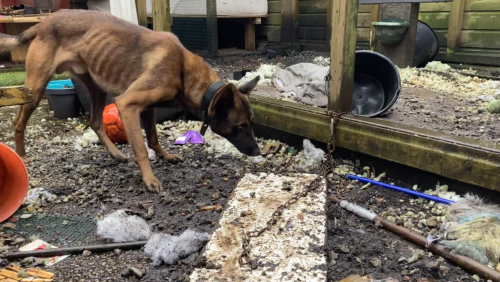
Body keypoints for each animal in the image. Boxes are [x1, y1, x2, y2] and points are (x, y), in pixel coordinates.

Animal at [0, 9, 264, 193]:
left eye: (252, 123)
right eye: (240, 127)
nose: (258, 151)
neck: (183, 69)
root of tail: (44, 22)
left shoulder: (147, 108)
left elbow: (154, 138)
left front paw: (165, 156)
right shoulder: (127, 104)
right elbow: (141, 148)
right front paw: (149, 179)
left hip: (96, 88)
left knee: (95, 122)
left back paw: (115, 153)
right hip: (35, 89)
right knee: (19, 123)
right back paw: (21, 157)